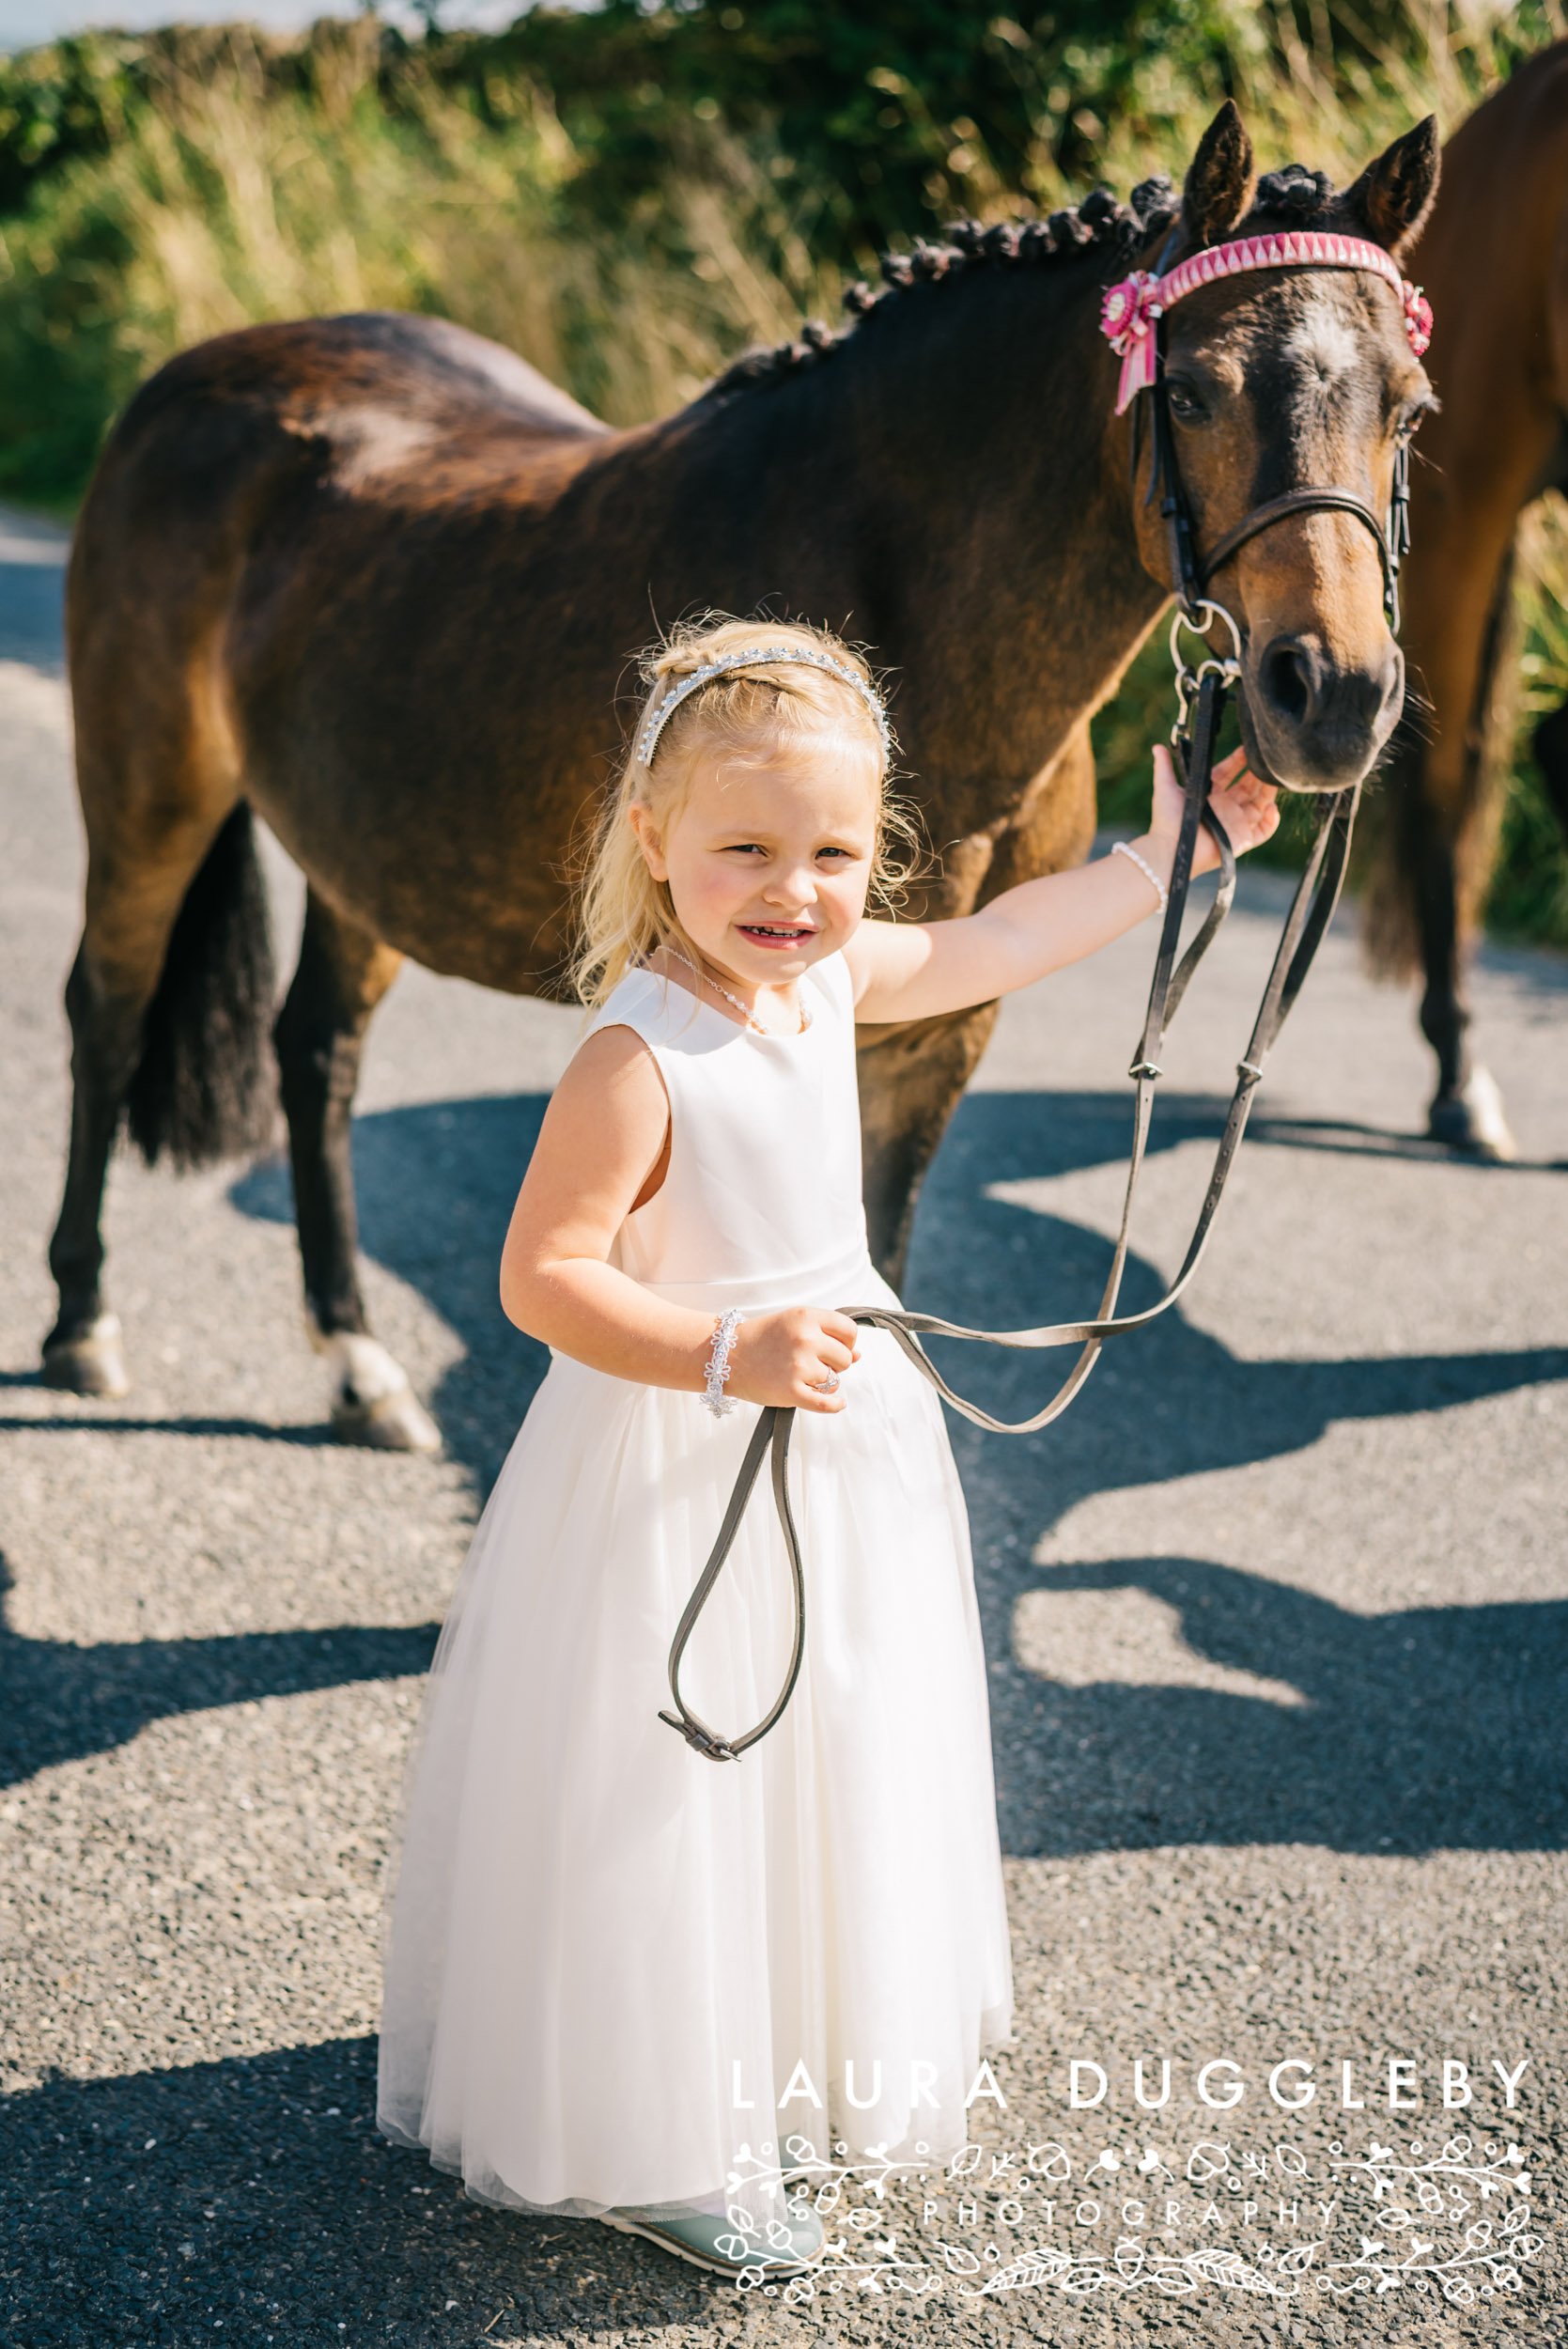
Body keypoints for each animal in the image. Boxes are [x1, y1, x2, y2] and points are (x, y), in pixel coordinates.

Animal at [42, 110, 1436, 1447]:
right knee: (107, 1008)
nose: (1333, 697)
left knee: (315, 1055)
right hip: (149, 791)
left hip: (362, 859)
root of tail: (201, 376)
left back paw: (359, 1368)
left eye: (1410, 408)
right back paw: (81, 1324)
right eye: (1191, 393)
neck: (904, 590)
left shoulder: (940, 1025)